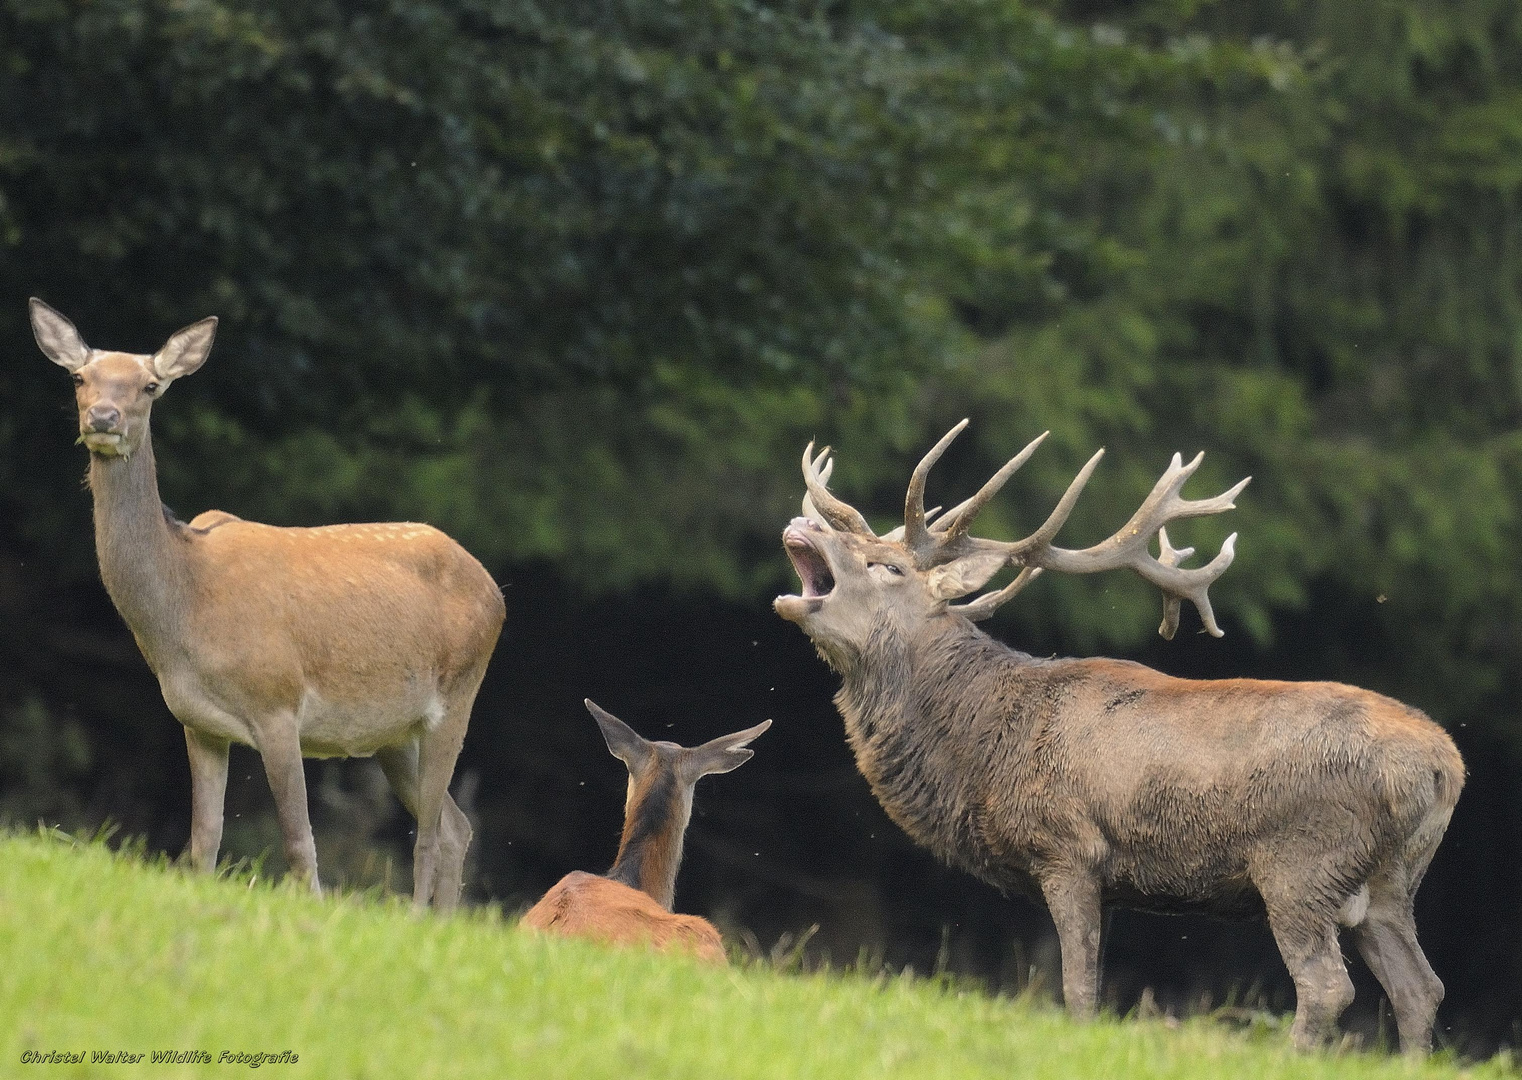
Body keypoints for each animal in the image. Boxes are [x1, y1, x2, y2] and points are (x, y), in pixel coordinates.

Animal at [29, 299, 505, 906]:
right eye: (79, 377)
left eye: (150, 385)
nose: (104, 418)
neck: (185, 607)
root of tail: (495, 589)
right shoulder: (198, 723)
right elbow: (203, 841)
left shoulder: (278, 703)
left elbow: (301, 842)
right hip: (393, 734)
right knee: (453, 825)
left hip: (457, 696)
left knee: (427, 834)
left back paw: (418, 916)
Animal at [779, 422, 1467, 1058]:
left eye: (887, 566)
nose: (803, 523)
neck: (980, 751)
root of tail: (1445, 766)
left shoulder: (1068, 847)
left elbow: (1078, 987)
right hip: (1390, 881)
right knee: (1420, 987)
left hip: (1303, 861)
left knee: (1327, 986)